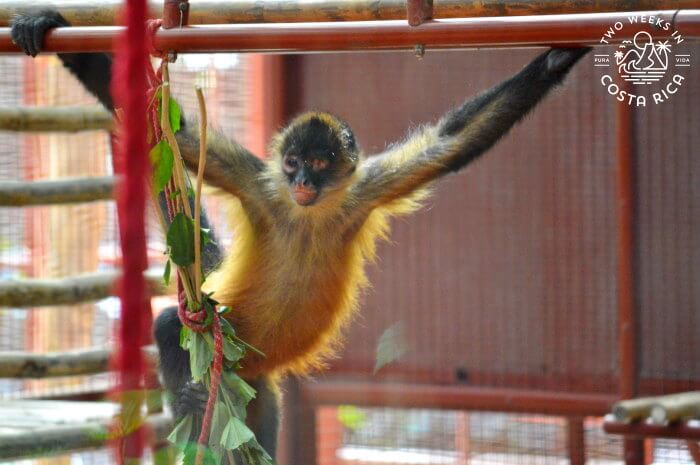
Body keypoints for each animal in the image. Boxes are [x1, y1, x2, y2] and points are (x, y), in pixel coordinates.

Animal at [11, 10, 590, 464]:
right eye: (291, 163)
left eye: (319, 162)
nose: (304, 183)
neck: (308, 215)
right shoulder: (262, 187)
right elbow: (172, 135)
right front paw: (43, 23)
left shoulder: (363, 191)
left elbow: (452, 143)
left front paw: (561, 56)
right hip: (227, 343)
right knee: (172, 321)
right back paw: (190, 403)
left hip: (256, 390)